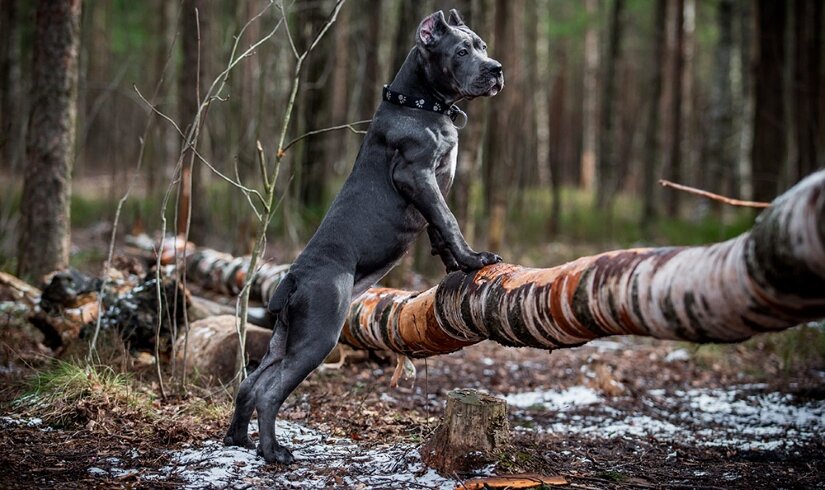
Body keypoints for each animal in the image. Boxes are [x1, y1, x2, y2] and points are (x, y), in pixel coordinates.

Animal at [225, 9, 506, 466]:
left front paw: (455, 267)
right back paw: (274, 452)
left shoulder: (430, 189)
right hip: (318, 335)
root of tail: (294, 278)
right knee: (270, 392)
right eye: (462, 51)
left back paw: (238, 440)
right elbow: (448, 222)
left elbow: (438, 231)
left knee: (251, 383)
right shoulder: (418, 175)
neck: (421, 104)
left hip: (284, 337)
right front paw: (474, 260)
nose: (496, 69)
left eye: (482, 46)